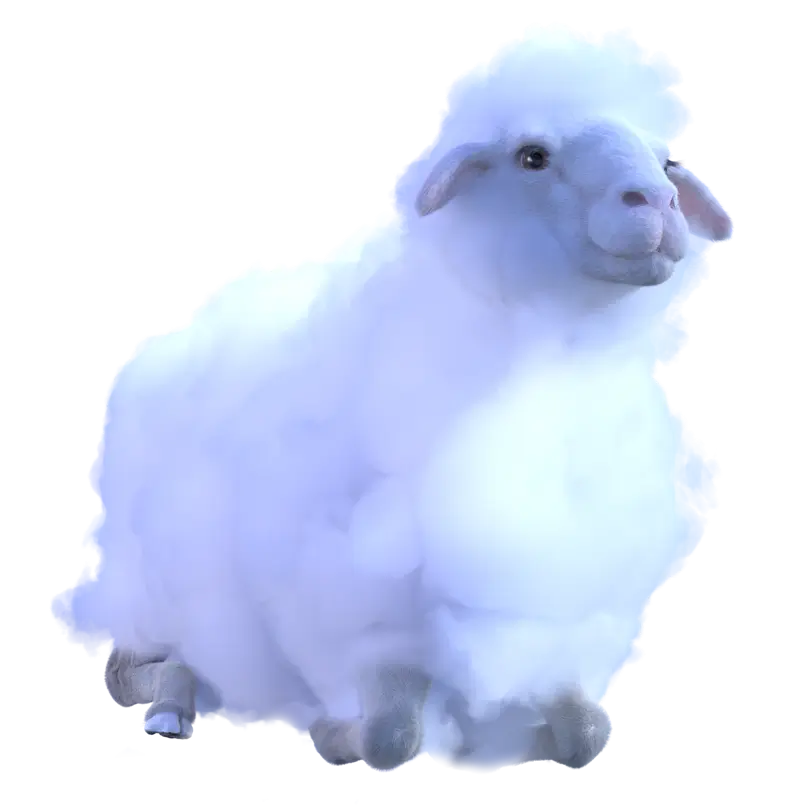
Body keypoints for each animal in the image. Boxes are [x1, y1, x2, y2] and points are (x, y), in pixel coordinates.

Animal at [50, 22, 732, 771]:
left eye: (663, 161)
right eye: (532, 156)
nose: (657, 205)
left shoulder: (561, 622)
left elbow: (584, 737)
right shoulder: (363, 618)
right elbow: (390, 734)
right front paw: (336, 734)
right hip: (148, 585)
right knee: (134, 664)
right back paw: (173, 710)